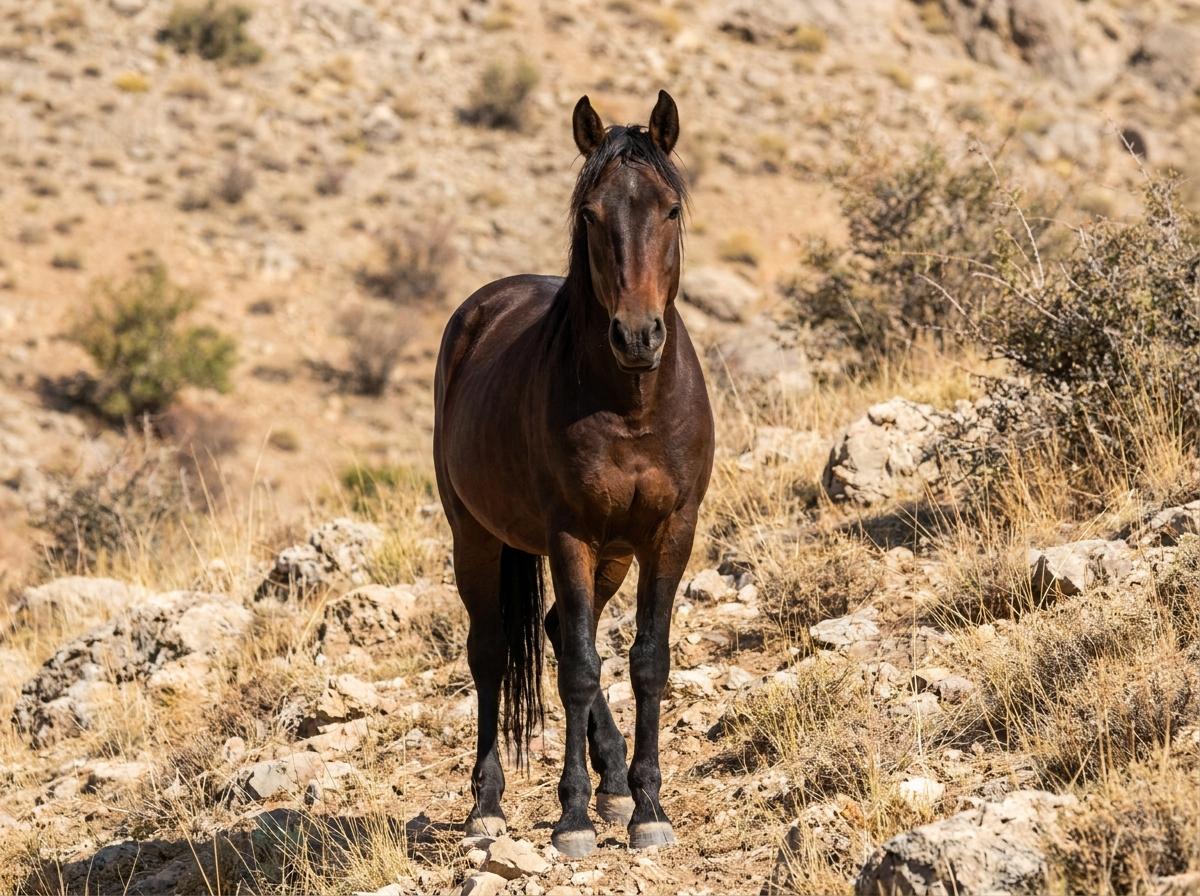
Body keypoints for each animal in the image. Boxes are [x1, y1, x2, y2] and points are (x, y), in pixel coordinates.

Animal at [433, 90, 714, 858]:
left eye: (670, 209)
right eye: (590, 213)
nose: (638, 336)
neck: (632, 404)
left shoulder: (669, 533)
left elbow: (649, 661)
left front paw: (647, 808)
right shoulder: (570, 537)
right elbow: (583, 669)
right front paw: (572, 820)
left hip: (613, 553)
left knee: (559, 625)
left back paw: (615, 782)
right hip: (475, 536)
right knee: (493, 650)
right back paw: (488, 804)